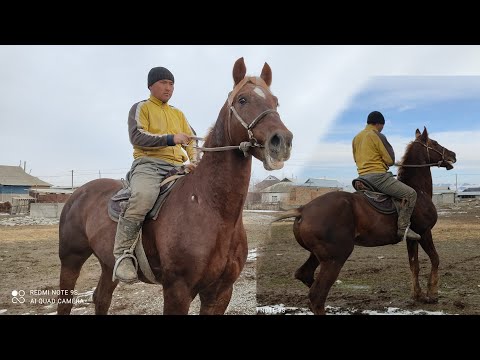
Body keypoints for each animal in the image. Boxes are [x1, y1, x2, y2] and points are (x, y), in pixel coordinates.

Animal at [58, 57, 294, 314]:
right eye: (243, 100)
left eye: (275, 101)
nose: (281, 141)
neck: (211, 209)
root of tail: (78, 194)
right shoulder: (177, 291)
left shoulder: (220, 293)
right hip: (71, 260)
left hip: (108, 264)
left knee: (101, 298)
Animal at [276, 128, 456, 314]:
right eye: (435, 143)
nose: (453, 155)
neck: (418, 191)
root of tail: (303, 210)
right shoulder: (425, 232)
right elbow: (435, 259)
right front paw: (432, 294)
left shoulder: (412, 239)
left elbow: (414, 265)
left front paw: (418, 295)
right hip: (335, 258)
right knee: (317, 297)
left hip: (318, 255)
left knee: (304, 276)